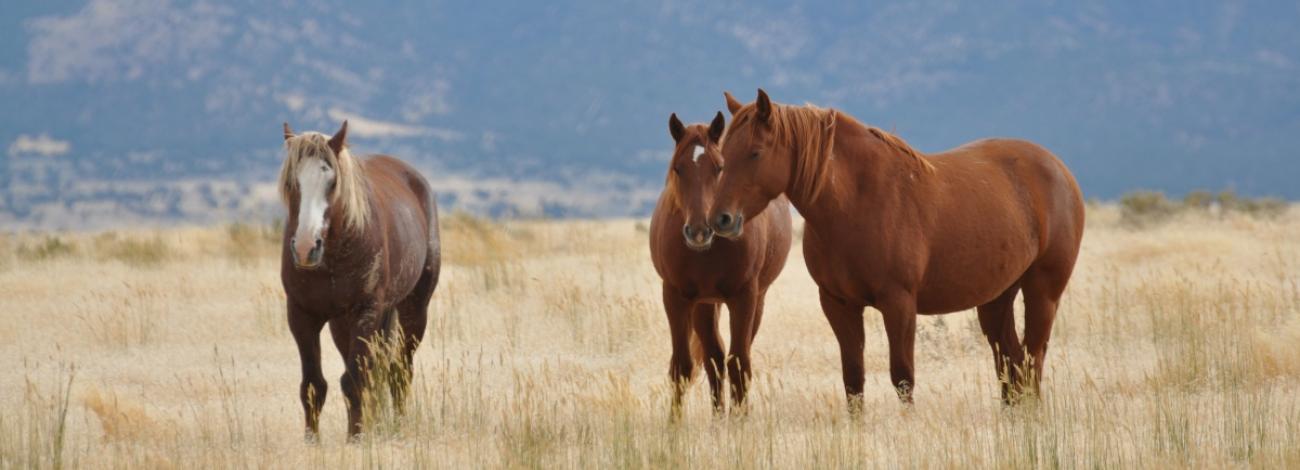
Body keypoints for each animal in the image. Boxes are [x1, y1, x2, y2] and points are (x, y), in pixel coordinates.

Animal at [279, 121, 441, 440]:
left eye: (332, 183)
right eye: (292, 183)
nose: (305, 247)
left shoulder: (365, 312)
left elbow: (354, 380)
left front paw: (355, 439)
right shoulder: (301, 315)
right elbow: (313, 384)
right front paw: (312, 441)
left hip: (414, 310)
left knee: (399, 370)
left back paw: (397, 426)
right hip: (345, 324)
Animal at [649, 111, 793, 416]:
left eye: (719, 168)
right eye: (678, 168)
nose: (699, 230)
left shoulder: (744, 297)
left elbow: (739, 362)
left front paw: (740, 420)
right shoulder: (675, 297)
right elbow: (682, 366)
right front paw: (673, 423)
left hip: (755, 300)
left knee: (730, 358)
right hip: (703, 304)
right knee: (713, 358)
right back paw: (716, 419)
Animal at [708, 90, 1084, 411]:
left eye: (755, 153)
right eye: (722, 157)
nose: (720, 219)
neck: (858, 201)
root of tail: (1058, 169)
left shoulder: (899, 303)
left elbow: (903, 377)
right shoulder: (837, 304)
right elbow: (853, 379)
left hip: (1043, 291)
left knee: (1033, 358)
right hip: (996, 298)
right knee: (1011, 361)